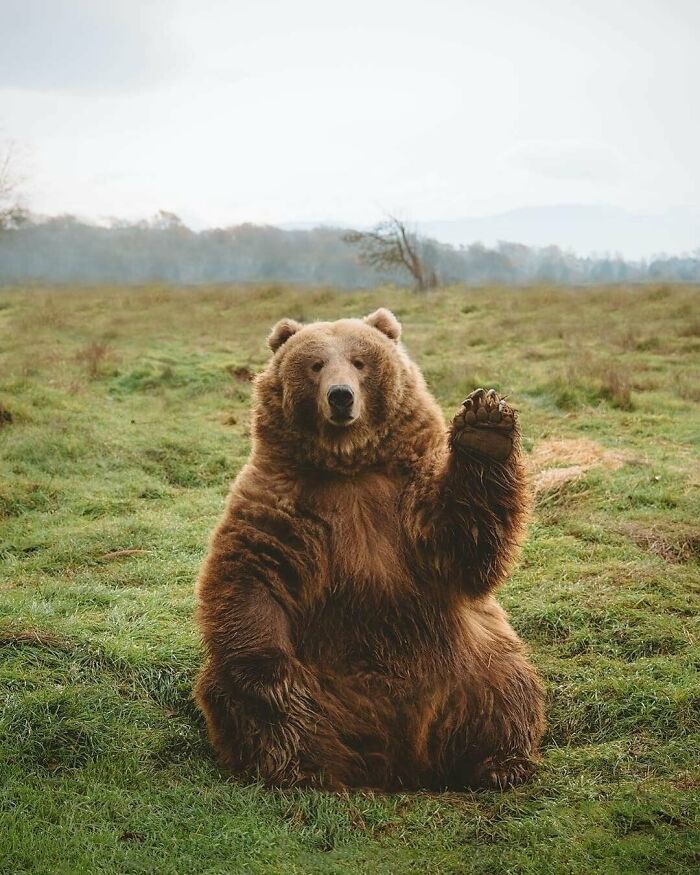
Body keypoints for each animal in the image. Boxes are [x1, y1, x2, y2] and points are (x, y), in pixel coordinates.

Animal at [194, 308, 545, 791]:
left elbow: (465, 540)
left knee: (505, 687)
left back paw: (499, 764)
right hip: (324, 682)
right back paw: (301, 768)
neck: (350, 466)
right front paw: (270, 676)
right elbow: (249, 574)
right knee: (252, 708)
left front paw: (485, 426)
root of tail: (397, 758)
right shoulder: (281, 502)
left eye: (360, 362)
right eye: (315, 364)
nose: (341, 397)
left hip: (467, 665)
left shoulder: (408, 499)